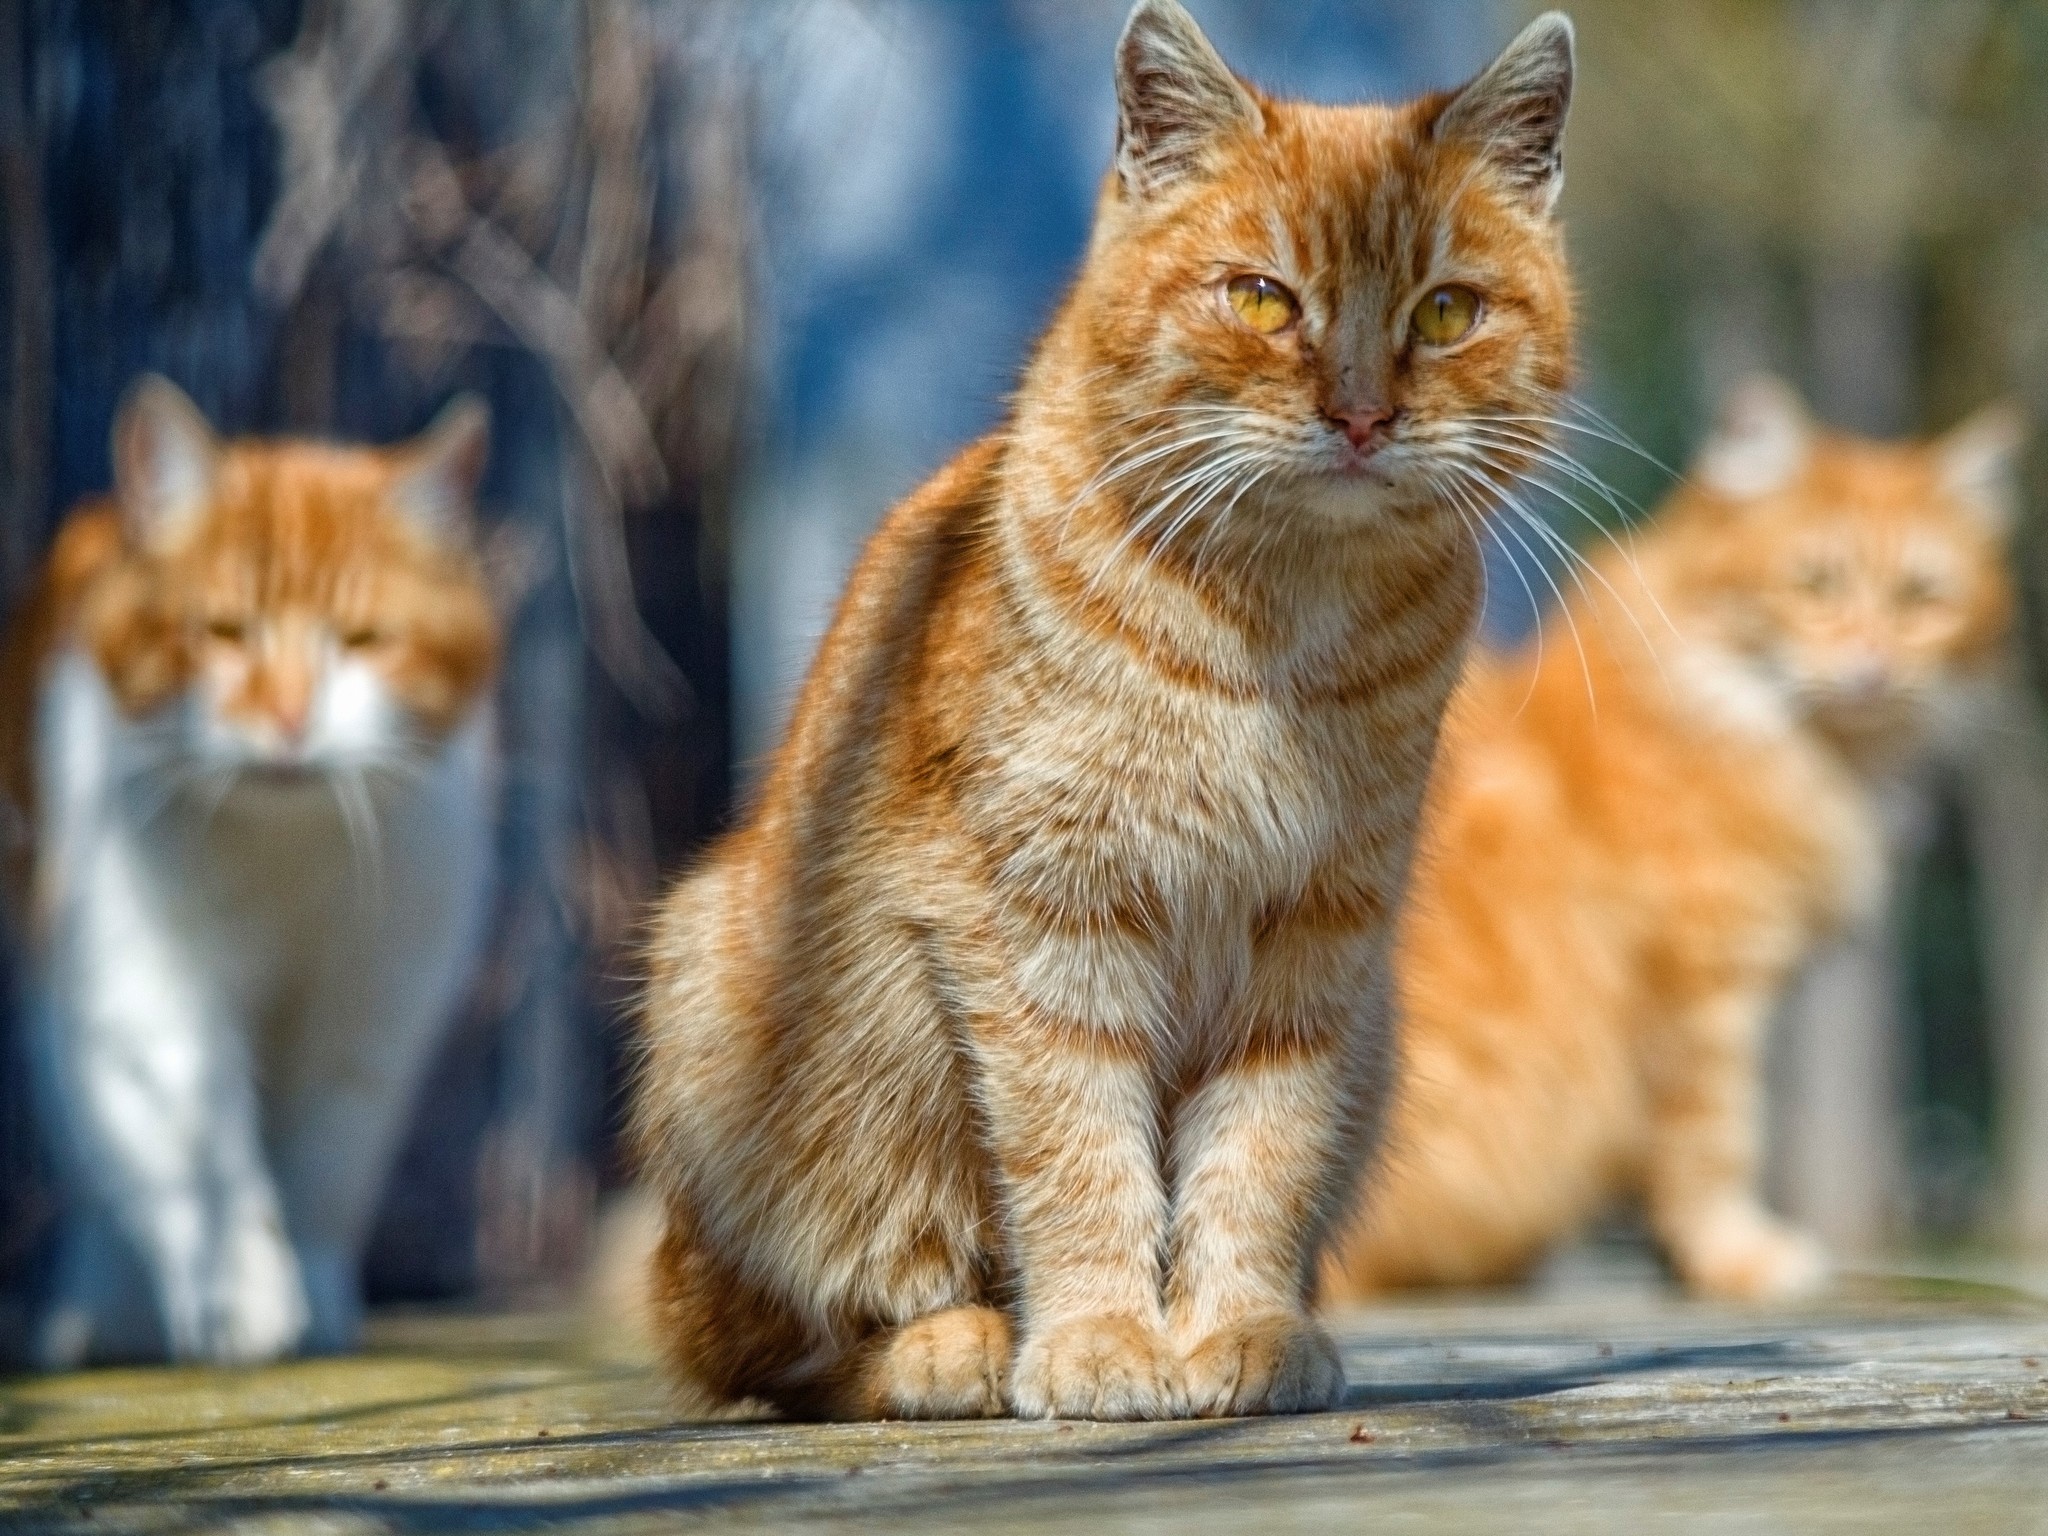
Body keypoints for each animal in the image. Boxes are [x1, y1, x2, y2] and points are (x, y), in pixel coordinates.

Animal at [638, 0, 1581, 1425]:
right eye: (1259, 298)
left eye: (1446, 311)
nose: (1360, 414)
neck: (1273, 633)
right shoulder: (1044, 922)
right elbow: (1078, 1150)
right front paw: (1098, 1340)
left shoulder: (1316, 939)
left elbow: (1257, 1155)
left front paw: (1238, 1329)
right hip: (757, 1020)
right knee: (778, 1348)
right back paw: (952, 1345)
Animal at [1327, 378, 2015, 1302]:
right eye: (1814, 583)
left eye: (1921, 599)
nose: (1873, 669)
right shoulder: (1703, 982)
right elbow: (1717, 1143)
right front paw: (1742, 1258)